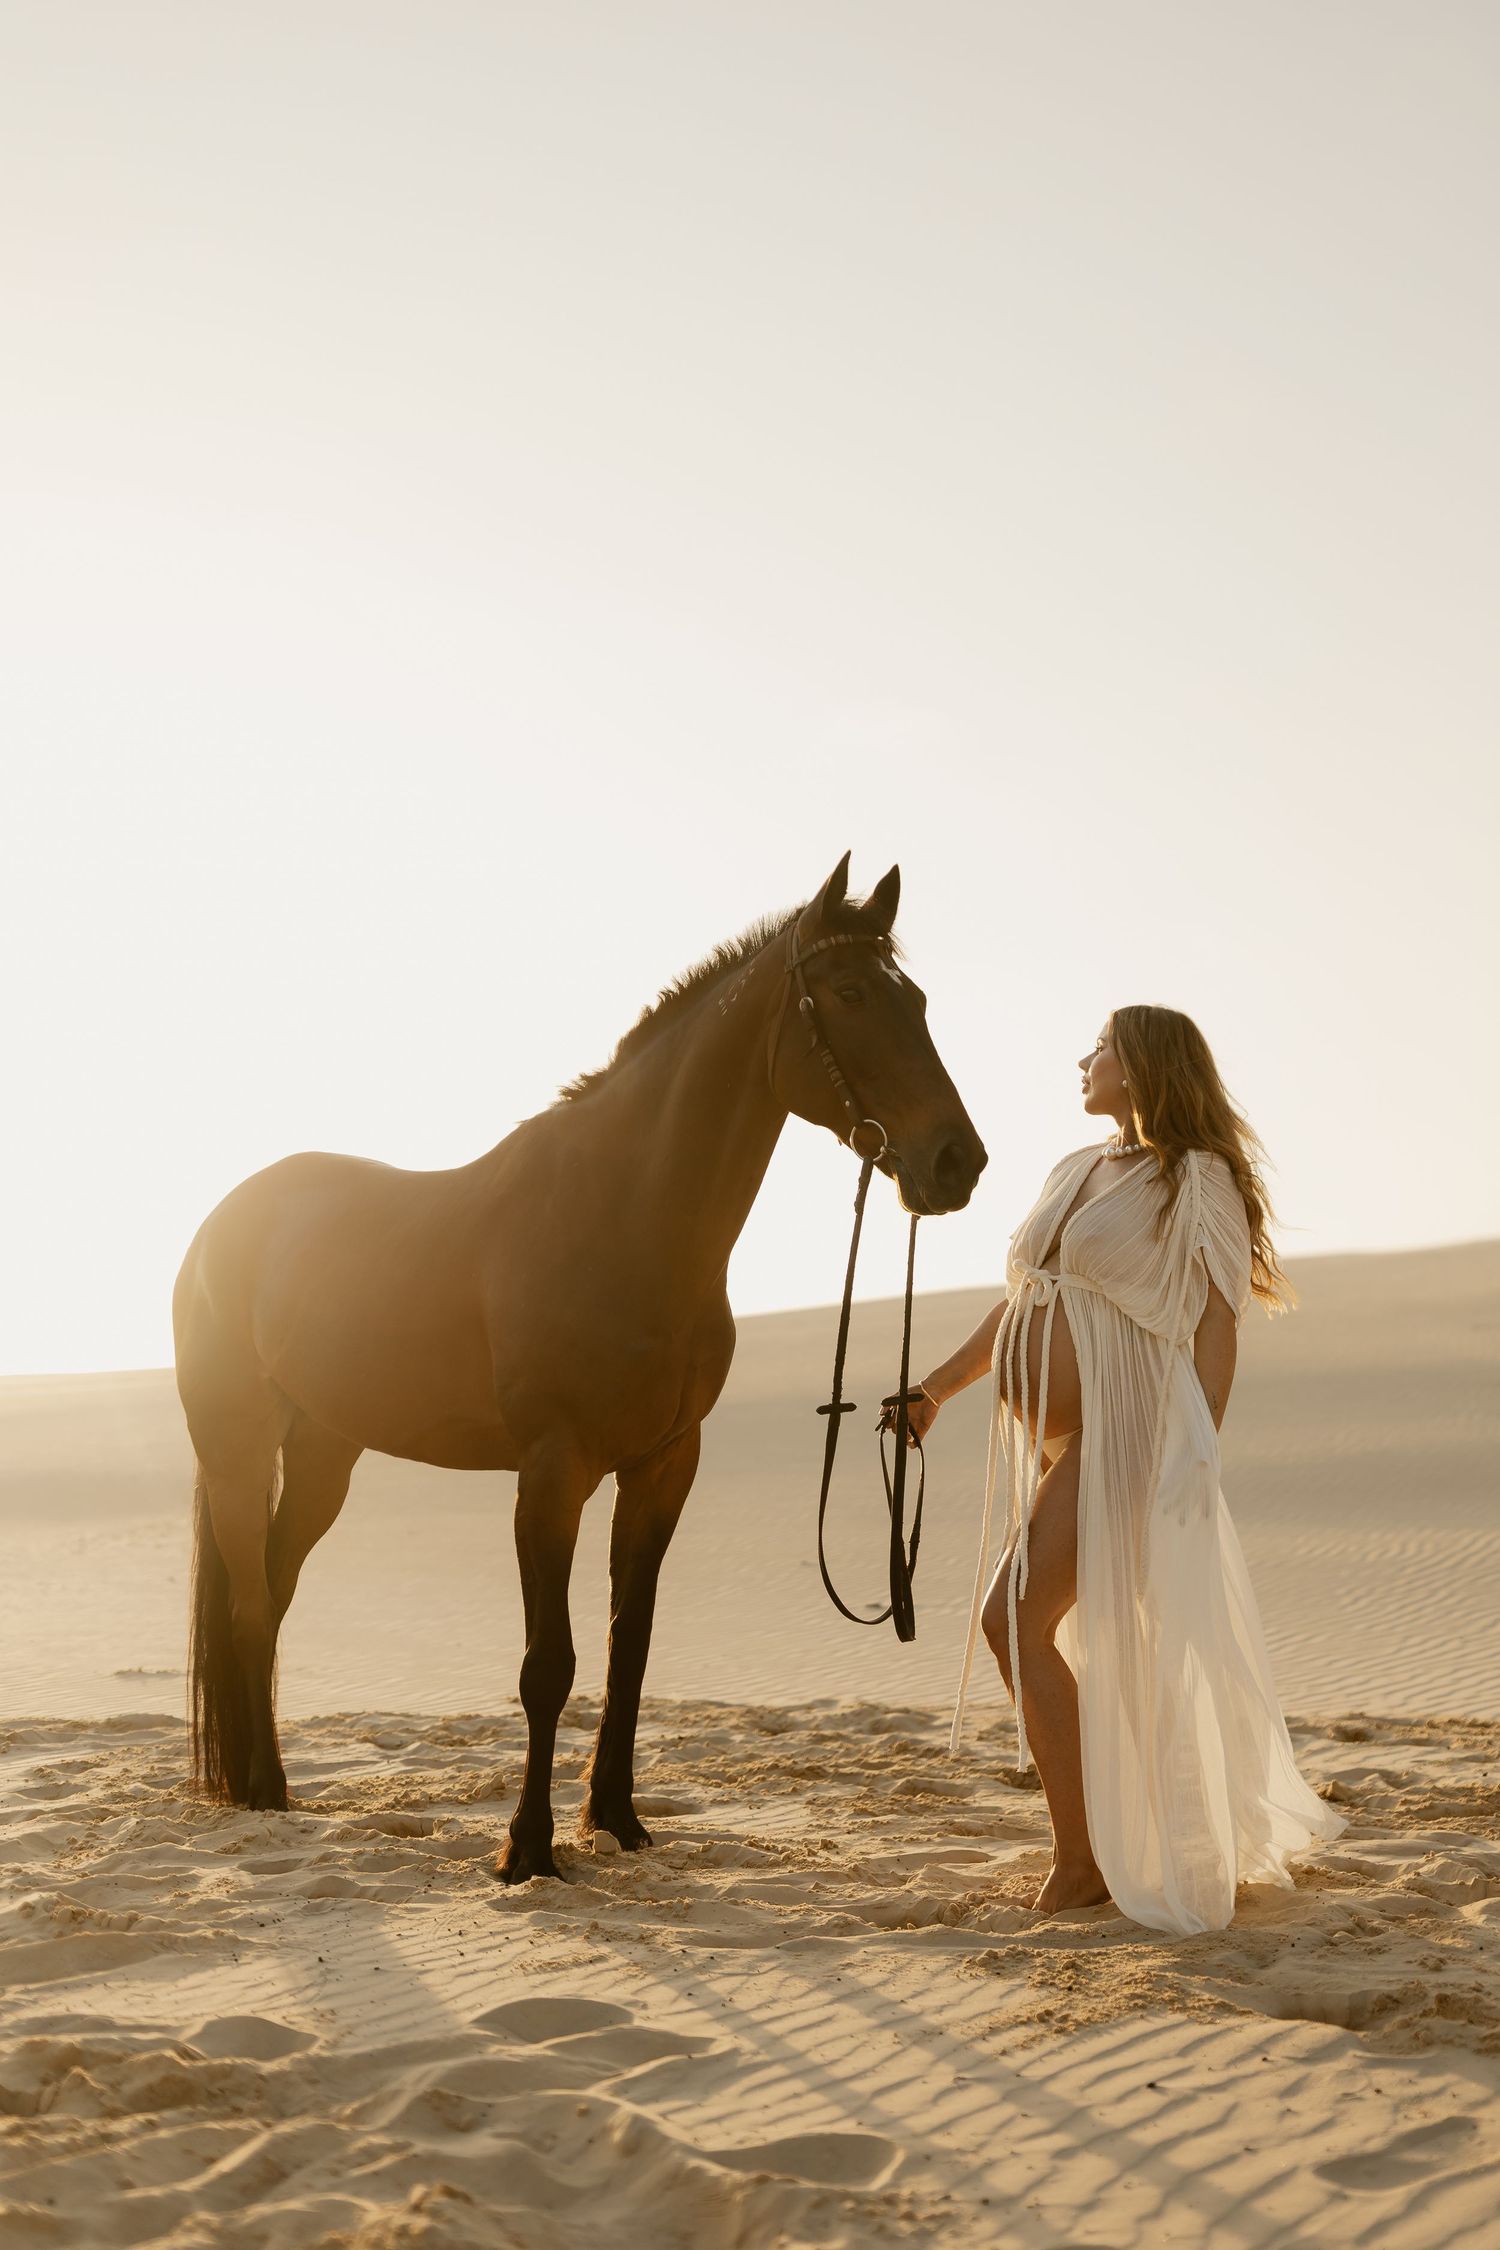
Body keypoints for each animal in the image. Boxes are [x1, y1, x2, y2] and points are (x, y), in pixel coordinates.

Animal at [174, 852, 987, 1881]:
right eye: (848, 993)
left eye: (913, 998)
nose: (957, 1163)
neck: (625, 1217)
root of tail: (222, 1222)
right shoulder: (552, 1473)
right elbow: (548, 1666)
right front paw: (527, 1848)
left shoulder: (663, 1466)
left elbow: (626, 1648)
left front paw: (617, 1818)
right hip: (238, 1450)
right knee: (247, 1609)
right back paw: (265, 1793)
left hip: (324, 1456)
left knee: (273, 1600)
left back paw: (263, 1786)